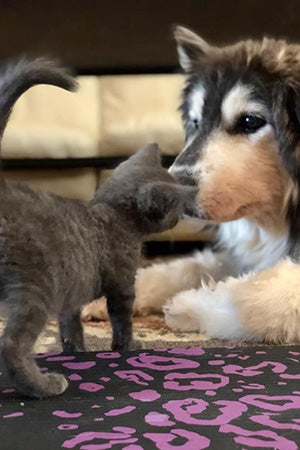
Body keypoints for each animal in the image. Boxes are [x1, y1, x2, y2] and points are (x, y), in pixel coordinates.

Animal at [0, 56, 198, 398]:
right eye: (174, 208)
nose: (181, 215)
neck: (110, 214)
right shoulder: (122, 283)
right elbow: (122, 319)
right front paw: (128, 346)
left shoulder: (72, 290)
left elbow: (70, 322)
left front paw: (76, 349)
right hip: (33, 283)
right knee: (11, 344)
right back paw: (44, 385)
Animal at [82, 26, 300, 342]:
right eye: (196, 122)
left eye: (250, 121)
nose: (173, 191)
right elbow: (187, 265)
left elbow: (254, 297)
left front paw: (189, 306)